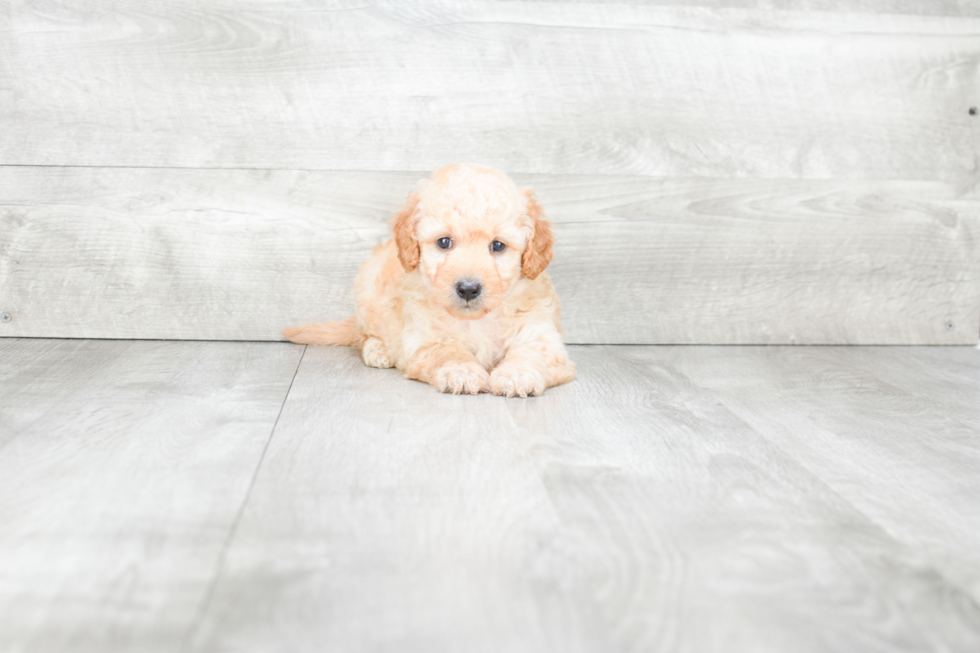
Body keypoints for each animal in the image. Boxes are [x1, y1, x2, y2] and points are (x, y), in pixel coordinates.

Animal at [282, 163, 576, 398]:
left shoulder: (541, 336)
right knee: (364, 336)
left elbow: (531, 354)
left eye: (498, 246)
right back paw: (379, 351)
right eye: (444, 242)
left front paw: (516, 375)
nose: (468, 289)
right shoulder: (424, 339)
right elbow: (447, 352)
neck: (476, 320)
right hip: (366, 293)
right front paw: (462, 372)